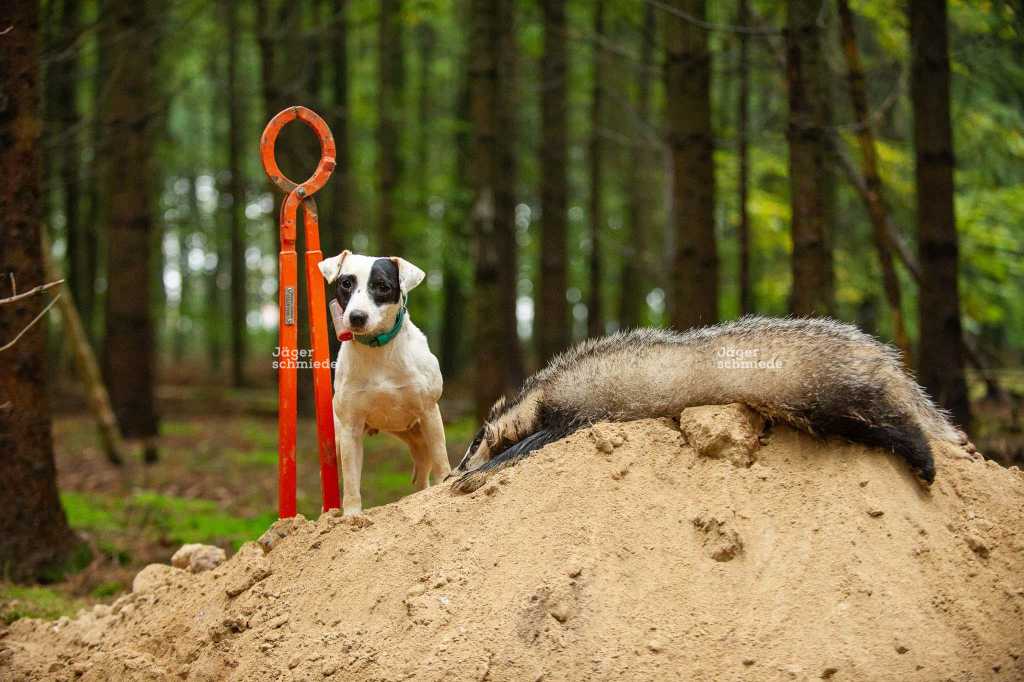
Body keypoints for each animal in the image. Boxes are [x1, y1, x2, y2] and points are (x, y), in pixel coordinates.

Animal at [317, 250, 450, 516]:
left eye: (382, 286)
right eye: (346, 283)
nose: (357, 317)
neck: (377, 349)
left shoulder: (429, 412)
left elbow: (441, 456)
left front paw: (445, 484)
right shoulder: (350, 429)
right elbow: (351, 479)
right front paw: (352, 515)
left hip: (420, 437)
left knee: (424, 472)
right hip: (338, 438)